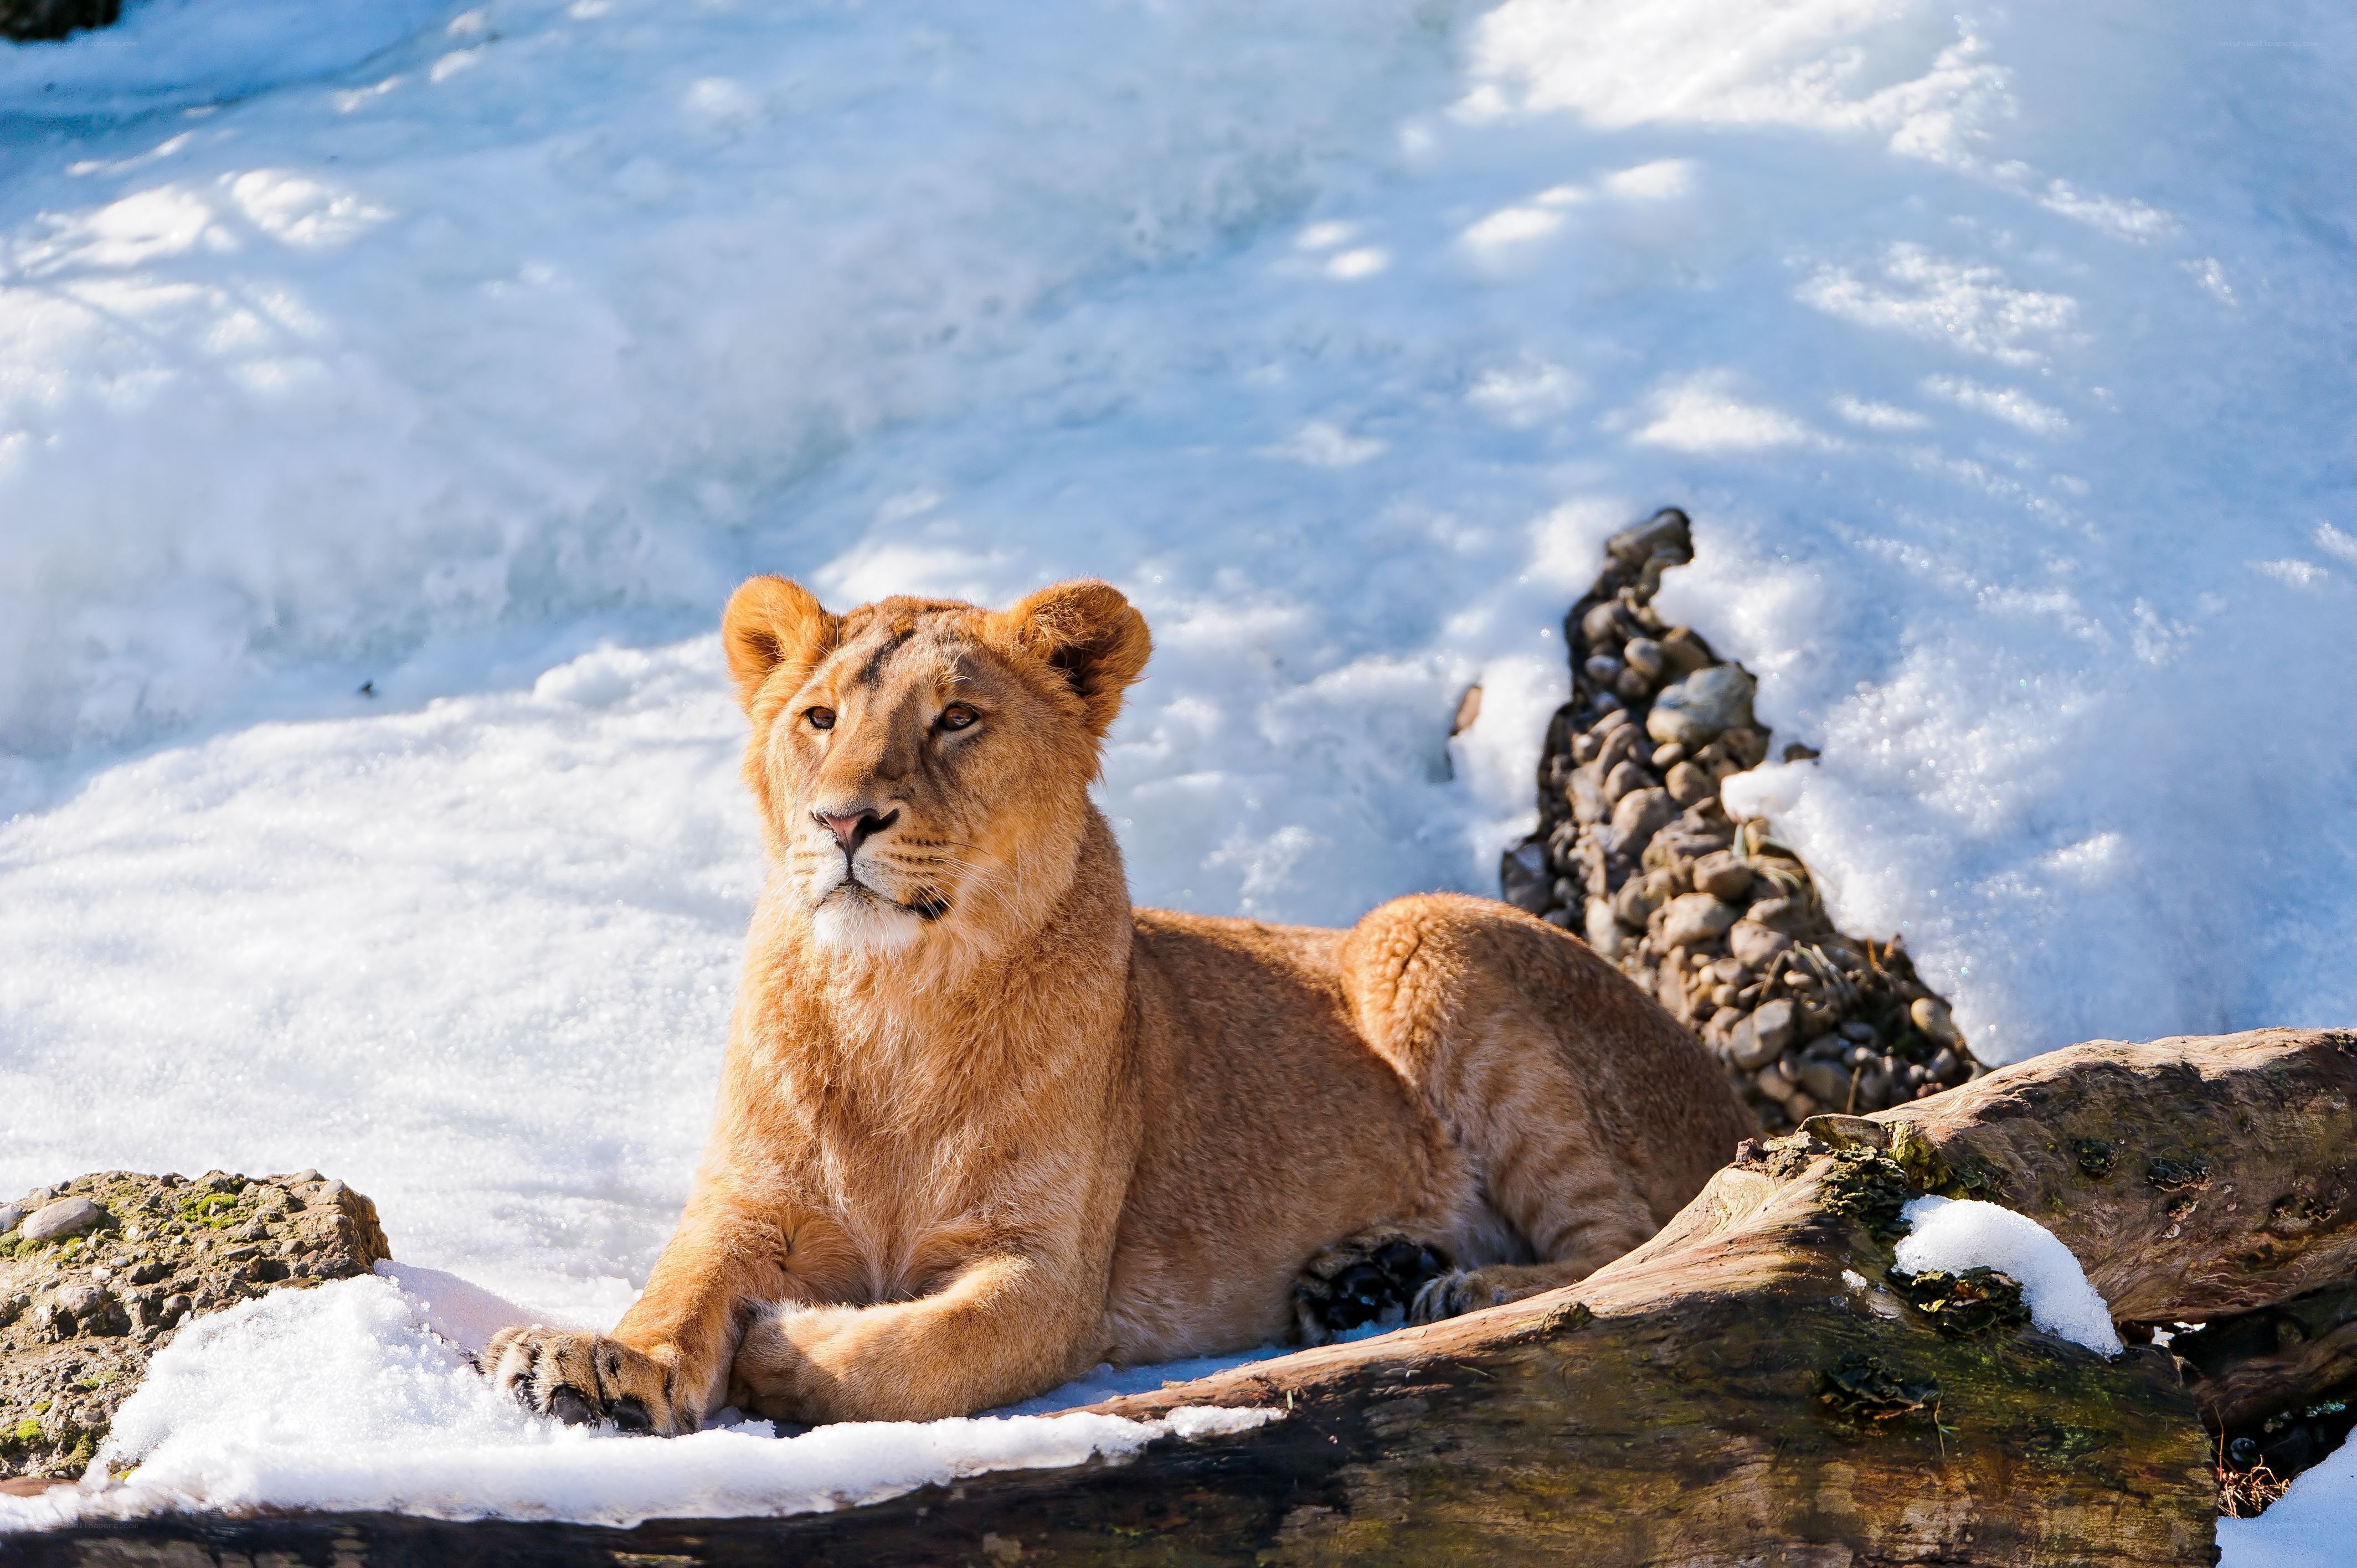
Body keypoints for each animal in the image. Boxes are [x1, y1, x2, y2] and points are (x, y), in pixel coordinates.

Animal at [483, 577, 1754, 1432]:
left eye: (956, 719)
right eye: (819, 719)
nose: (841, 820)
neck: (891, 996)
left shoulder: (1051, 1275)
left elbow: (917, 1354)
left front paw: (788, 1345)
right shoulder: (748, 1205)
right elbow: (680, 1284)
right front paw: (594, 1363)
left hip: (1417, 930)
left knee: (1633, 1243)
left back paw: (1454, 1288)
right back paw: (1363, 1280)